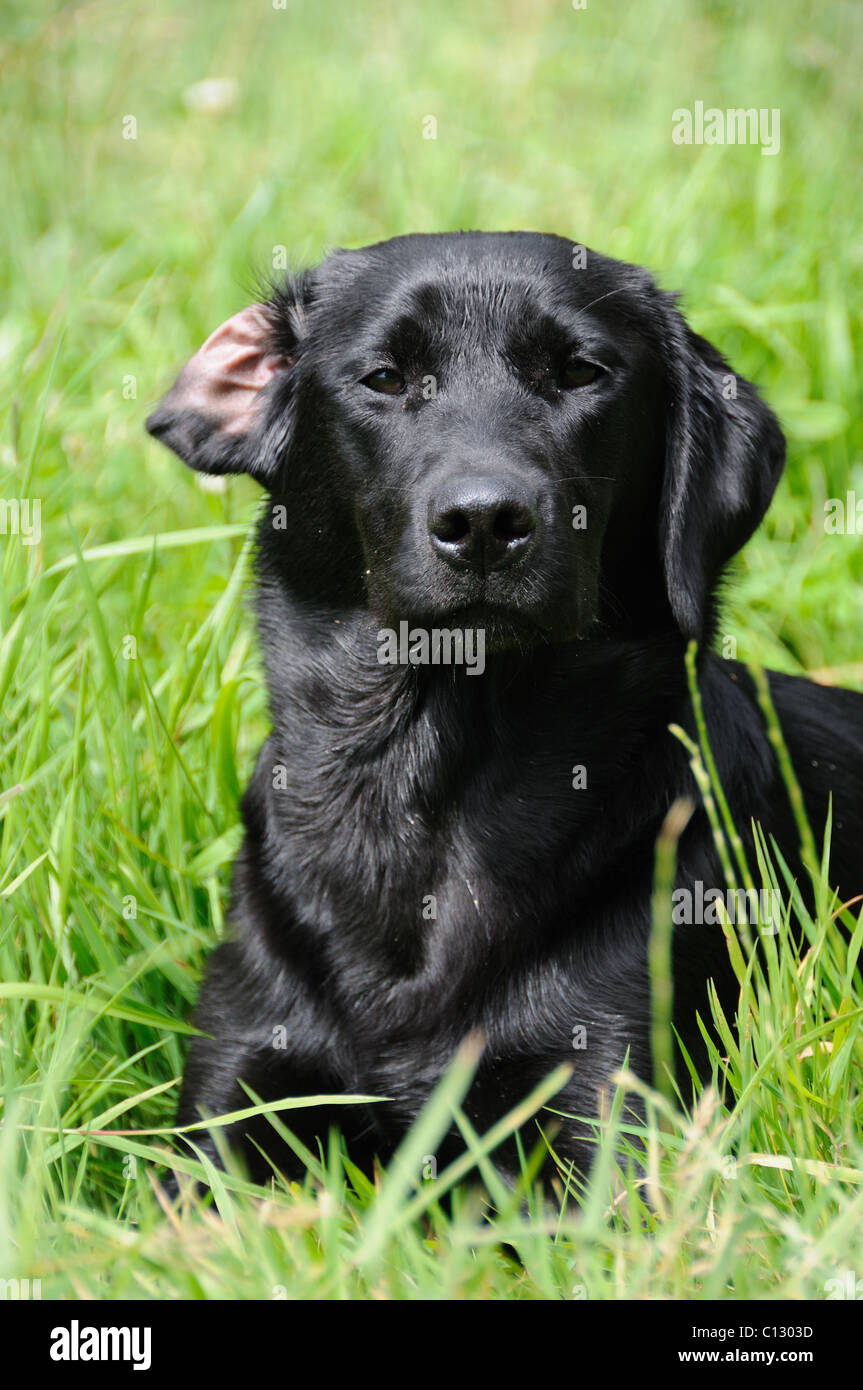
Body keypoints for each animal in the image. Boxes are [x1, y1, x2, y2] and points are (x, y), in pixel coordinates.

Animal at [148, 233, 861, 1189]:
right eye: (383, 377)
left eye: (582, 372)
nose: (484, 521)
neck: (432, 788)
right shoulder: (234, 1088)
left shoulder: (608, 1102)